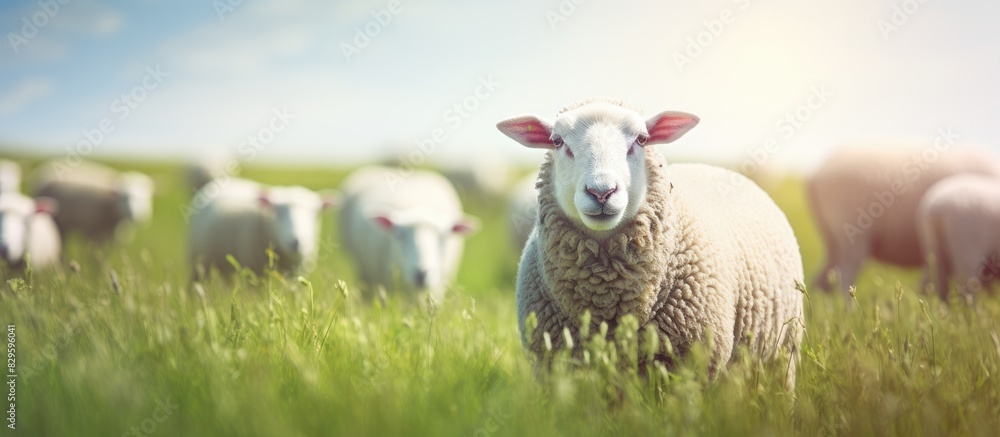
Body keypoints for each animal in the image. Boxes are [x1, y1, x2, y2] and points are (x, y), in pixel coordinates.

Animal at [496, 99, 805, 389]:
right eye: (558, 141)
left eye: (642, 139)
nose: (601, 192)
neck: (607, 298)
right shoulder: (556, 368)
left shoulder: (695, 366)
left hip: (783, 351)